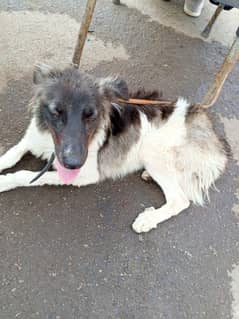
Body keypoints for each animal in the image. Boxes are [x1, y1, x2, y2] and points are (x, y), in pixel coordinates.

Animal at [0, 63, 229, 234]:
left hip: (152, 150)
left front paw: (5, 181)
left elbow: (24, 174)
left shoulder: (85, 174)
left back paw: (148, 219)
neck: (49, 141)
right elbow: (13, 153)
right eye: (57, 111)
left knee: (179, 200)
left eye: (91, 115)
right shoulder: (33, 138)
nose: (73, 163)